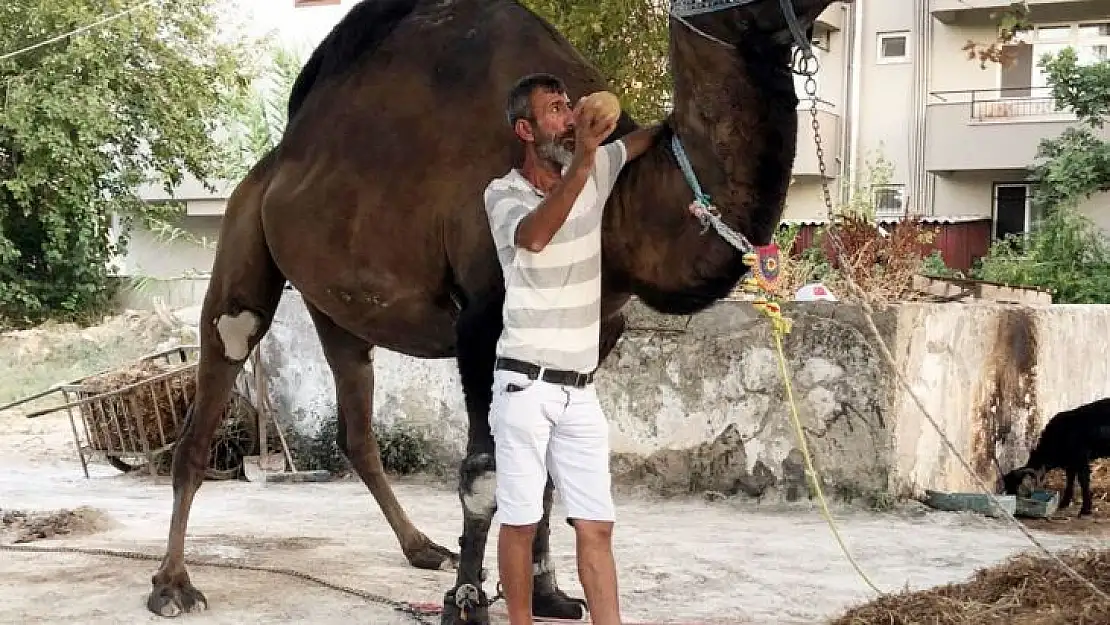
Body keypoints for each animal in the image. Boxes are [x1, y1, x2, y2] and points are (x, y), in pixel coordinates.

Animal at [145, 0, 839, 621]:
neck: (619, 210)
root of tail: (274, 163)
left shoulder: (600, 328)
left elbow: (547, 476)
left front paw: (550, 594)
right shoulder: (481, 319)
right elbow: (486, 473)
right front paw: (468, 603)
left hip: (334, 306)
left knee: (356, 426)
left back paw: (423, 547)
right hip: (242, 240)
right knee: (214, 385)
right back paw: (172, 584)